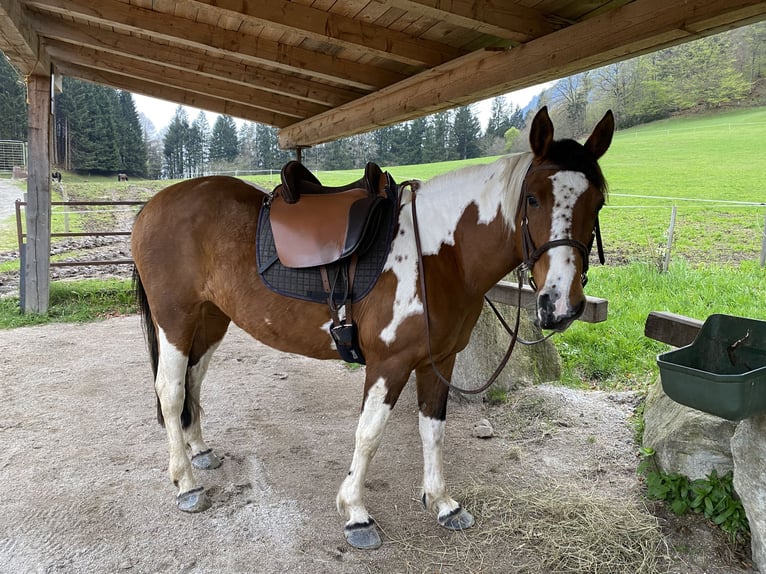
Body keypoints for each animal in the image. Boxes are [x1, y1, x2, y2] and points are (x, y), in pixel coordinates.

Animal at [129, 106, 616, 552]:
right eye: (532, 198)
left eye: (598, 202)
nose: (560, 304)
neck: (438, 255)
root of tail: (152, 206)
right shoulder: (389, 362)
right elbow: (369, 434)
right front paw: (356, 514)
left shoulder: (439, 360)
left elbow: (433, 430)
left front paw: (442, 503)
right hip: (175, 320)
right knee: (170, 390)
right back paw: (186, 484)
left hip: (211, 319)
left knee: (193, 380)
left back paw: (199, 451)